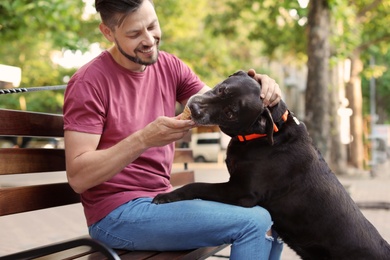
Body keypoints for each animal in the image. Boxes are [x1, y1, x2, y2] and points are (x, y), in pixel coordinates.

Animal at [153, 70, 390, 258]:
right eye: (222, 90)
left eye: (230, 113)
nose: (194, 108)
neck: (270, 131)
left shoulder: (241, 191)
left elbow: (198, 185)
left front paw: (168, 196)